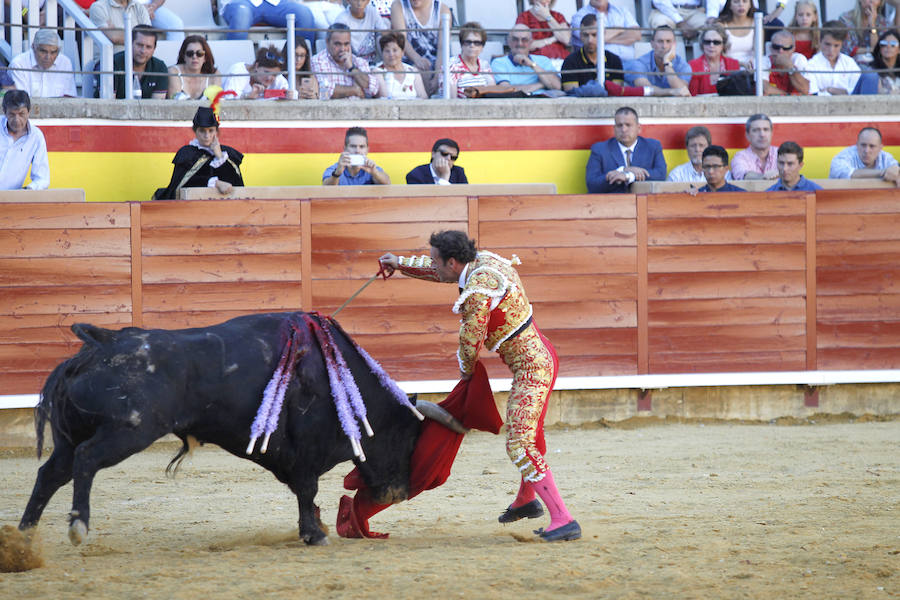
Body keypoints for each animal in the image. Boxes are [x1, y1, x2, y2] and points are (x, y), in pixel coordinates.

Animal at [21, 312, 440, 548]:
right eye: (407, 438)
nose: (398, 492)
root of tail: (98, 344)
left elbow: (306, 493)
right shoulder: (306, 449)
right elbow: (308, 491)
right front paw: (314, 533)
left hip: (70, 437)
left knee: (50, 473)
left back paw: (24, 536)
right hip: (128, 431)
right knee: (86, 460)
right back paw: (77, 527)